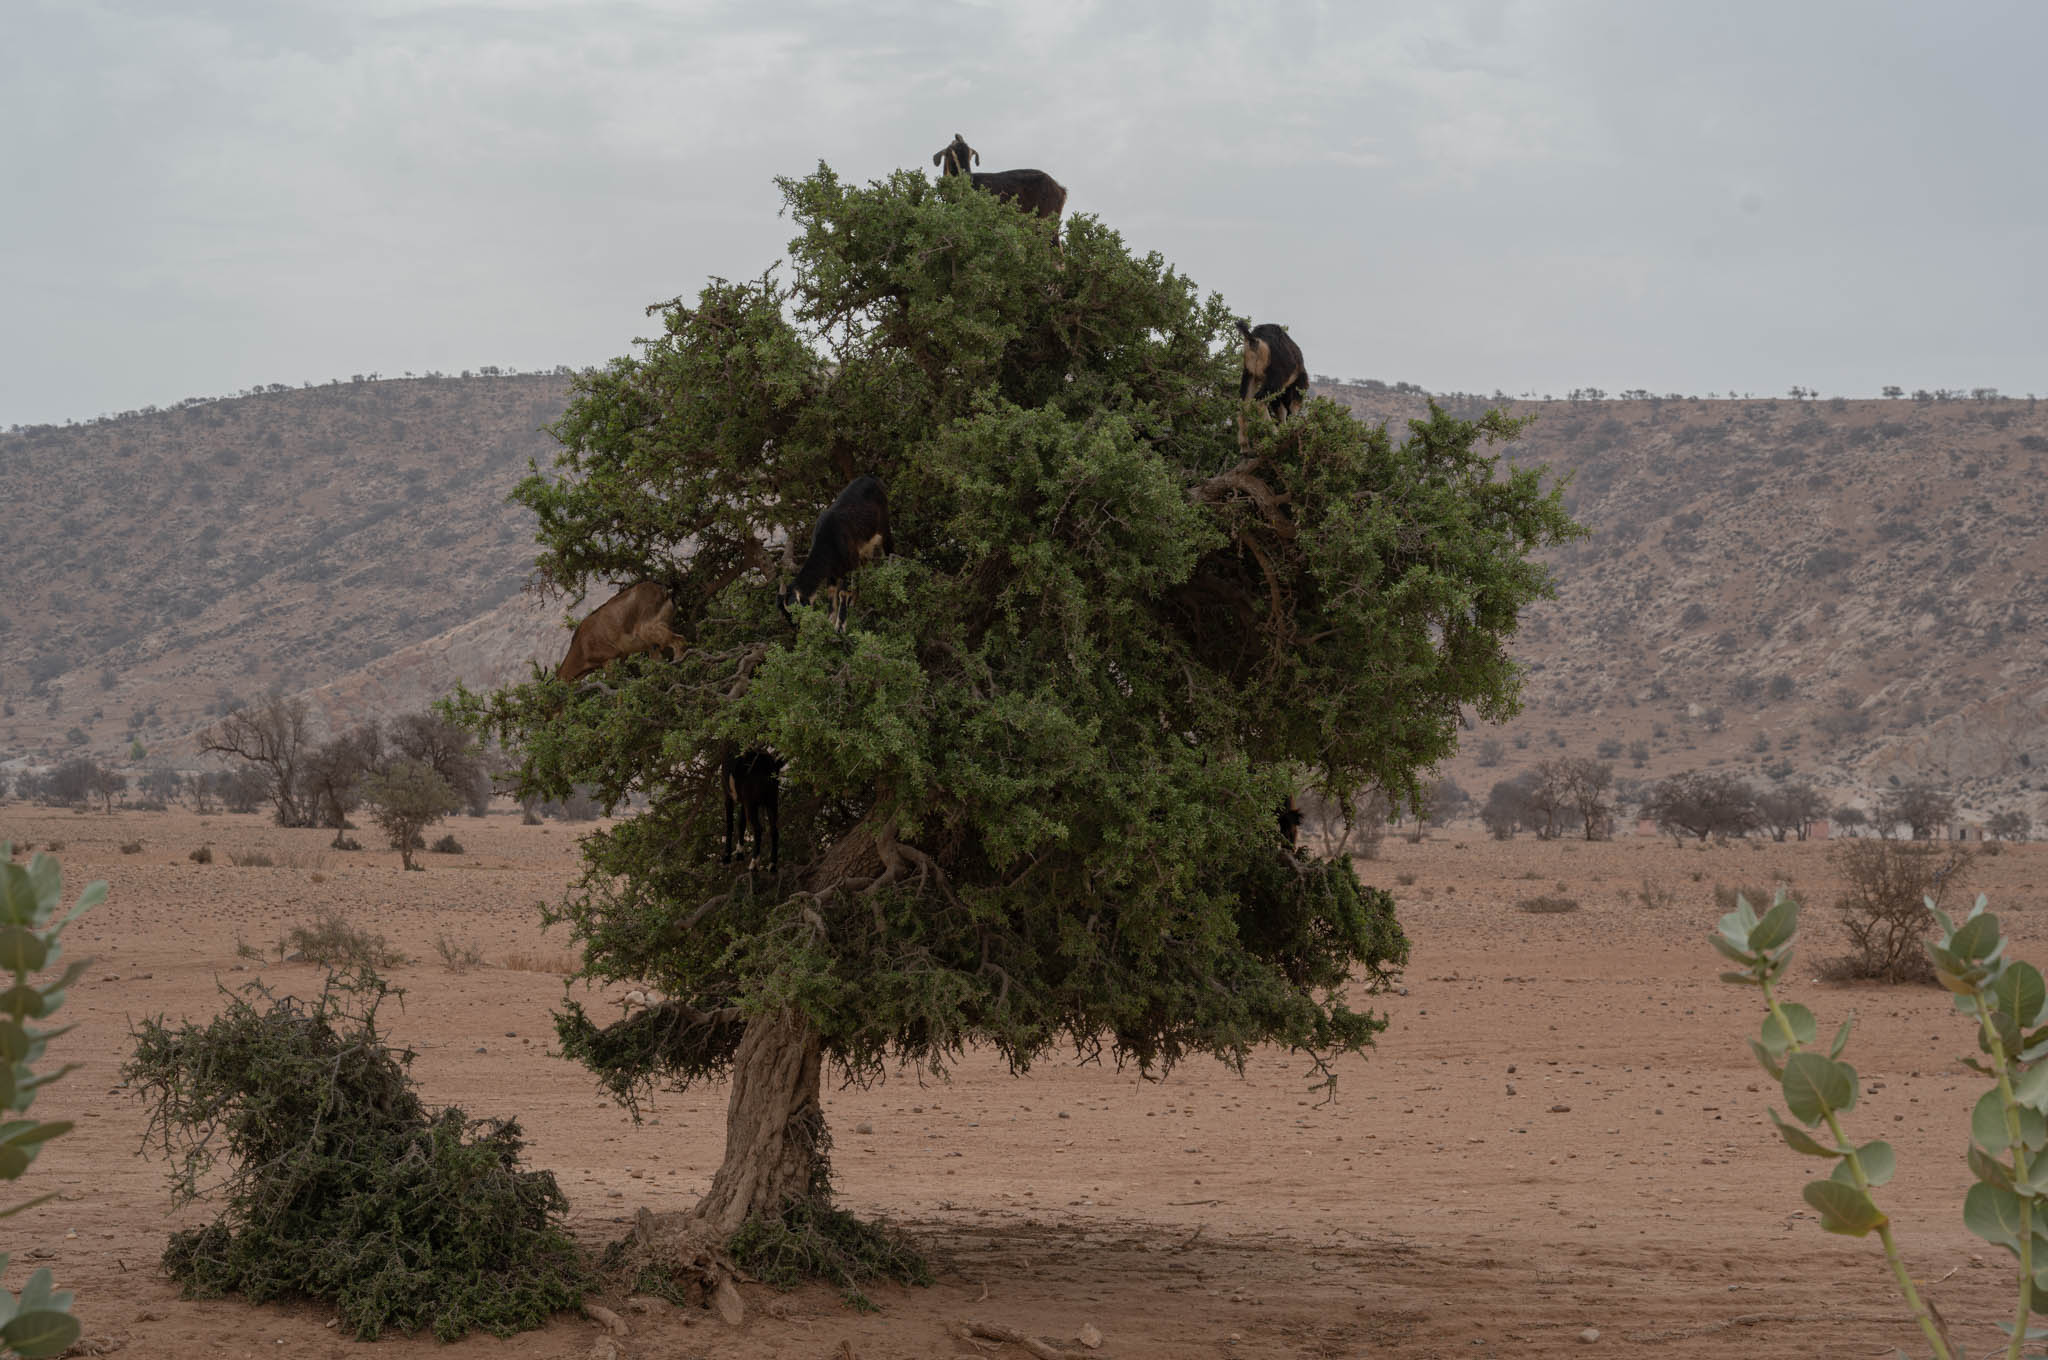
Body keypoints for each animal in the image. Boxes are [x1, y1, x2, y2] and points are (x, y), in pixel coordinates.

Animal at [556, 581, 685, 683]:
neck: (581, 647)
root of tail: (665, 592)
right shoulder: (622, 658)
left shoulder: (609, 660)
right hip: (654, 638)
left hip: (650, 630)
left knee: (679, 641)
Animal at [778, 475, 893, 632]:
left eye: (797, 610)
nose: (797, 628)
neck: (828, 539)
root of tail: (871, 478)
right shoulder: (832, 571)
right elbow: (831, 593)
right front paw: (829, 620)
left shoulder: (849, 565)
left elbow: (842, 593)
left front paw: (840, 627)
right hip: (864, 548)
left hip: (884, 528)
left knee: (889, 550)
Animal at [1235, 319, 1308, 453]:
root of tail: (1255, 341)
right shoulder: (1299, 382)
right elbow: (1292, 406)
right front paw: (1290, 428)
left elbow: (1281, 409)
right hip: (1275, 378)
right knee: (1259, 401)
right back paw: (1276, 435)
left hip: (1250, 374)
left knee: (1243, 405)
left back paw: (1245, 447)